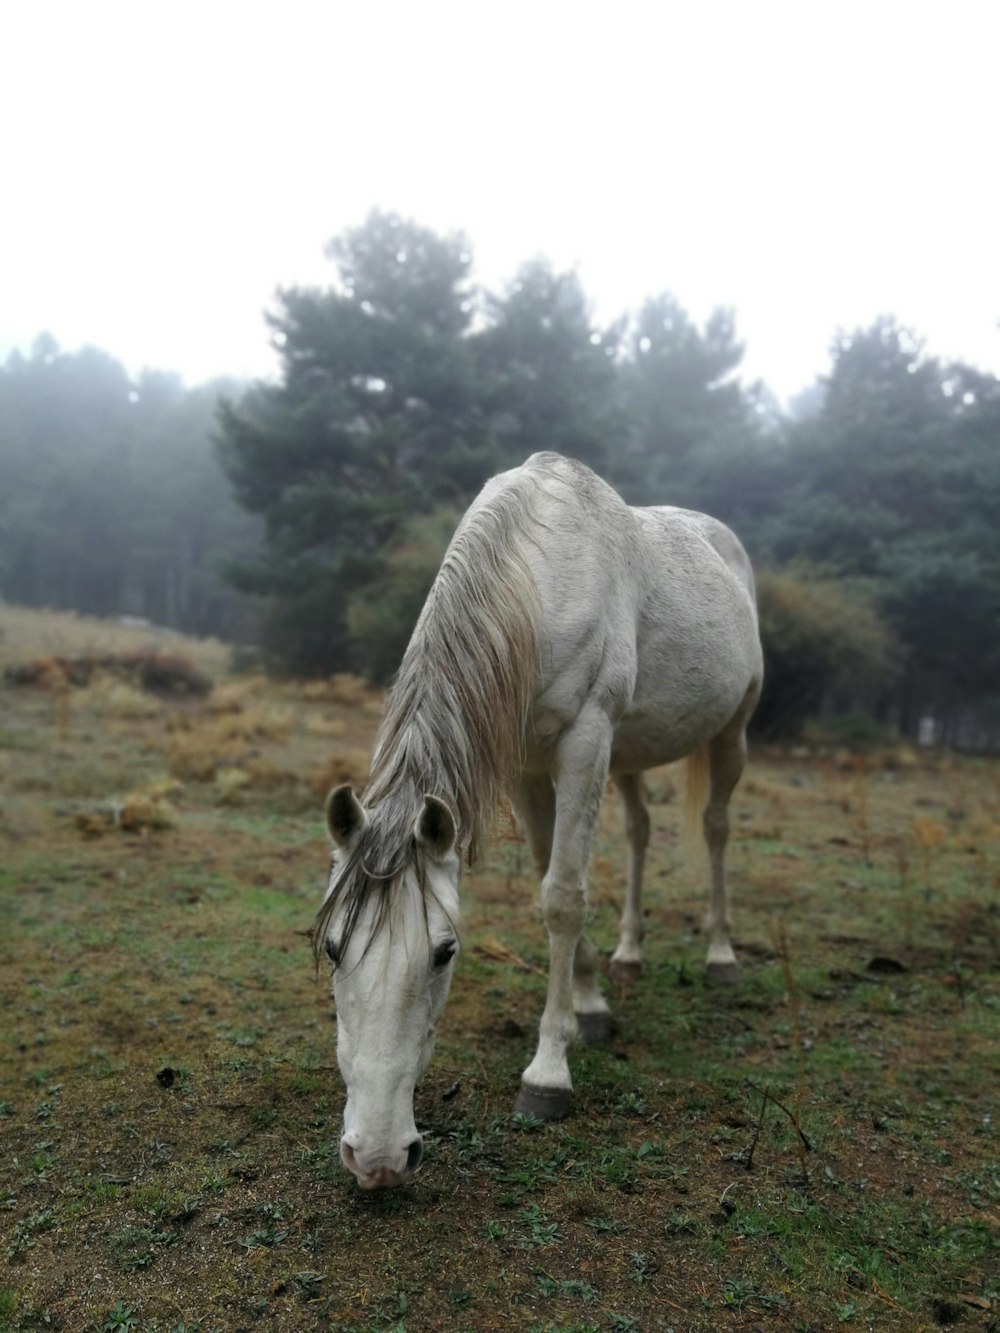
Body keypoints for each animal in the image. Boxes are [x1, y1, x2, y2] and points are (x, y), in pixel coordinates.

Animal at [317, 455, 762, 1189]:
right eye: (331, 948)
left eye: (445, 951)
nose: (377, 1158)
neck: (540, 580)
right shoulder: (528, 764)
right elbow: (548, 874)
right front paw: (591, 1004)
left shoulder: (585, 740)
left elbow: (563, 896)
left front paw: (549, 1072)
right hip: (631, 753)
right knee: (639, 829)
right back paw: (629, 952)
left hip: (731, 732)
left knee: (716, 827)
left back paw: (722, 955)